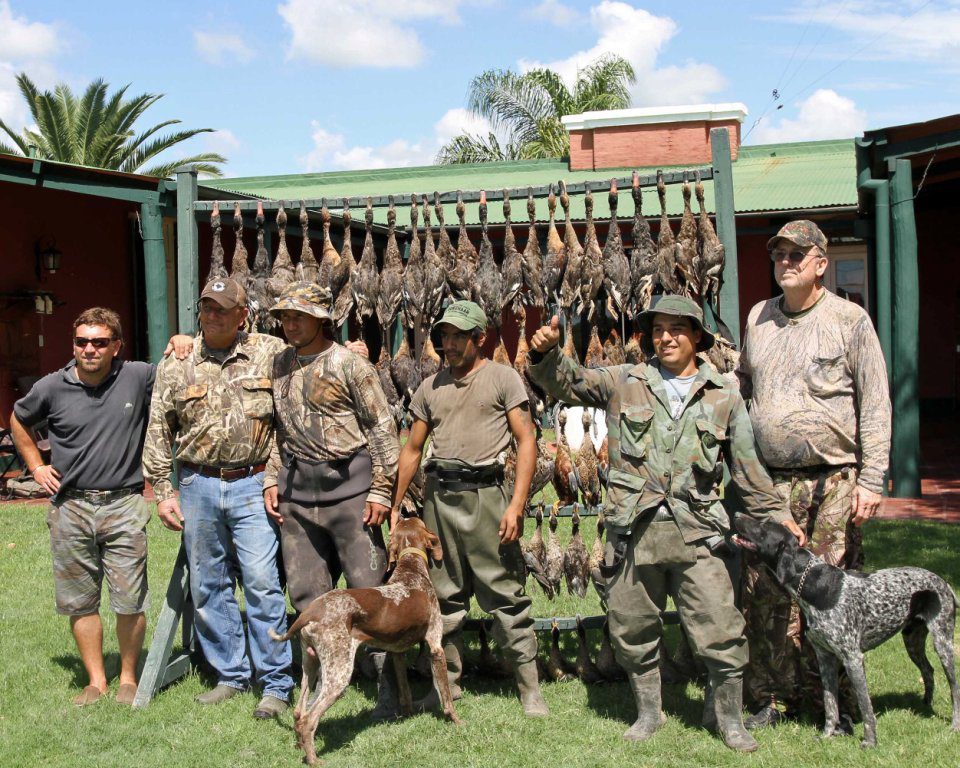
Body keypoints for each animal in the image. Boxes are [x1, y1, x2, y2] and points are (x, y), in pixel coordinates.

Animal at [268, 516, 464, 760]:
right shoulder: (436, 647)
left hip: (309, 665)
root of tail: (311, 611)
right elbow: (445, 695)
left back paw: (301, 746)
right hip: (339, 673)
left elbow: (405, 691)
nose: (402, 514)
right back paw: (314, 760)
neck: (411, 571)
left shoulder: (397, 652)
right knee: (308, 719)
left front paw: (408, 715)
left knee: (298, 712)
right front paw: (456, 721)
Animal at [732, 512, 956, 748]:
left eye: (764, 527)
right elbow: (831, 705)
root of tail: (944, 582)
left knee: (954, 688)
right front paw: (826, 735)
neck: (813, 583)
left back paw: (954, 725)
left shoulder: (853, 659)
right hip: (913, 641)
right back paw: (926, 704)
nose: (737, 514)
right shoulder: (825, 658)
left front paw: (870, 742)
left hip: (943, 642)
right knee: (928, 671)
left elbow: (866, 708)